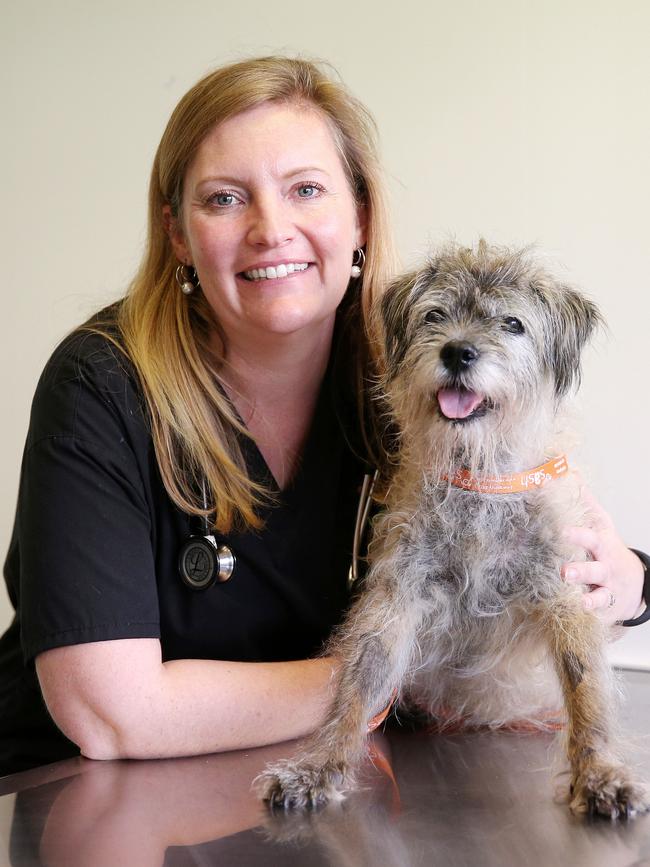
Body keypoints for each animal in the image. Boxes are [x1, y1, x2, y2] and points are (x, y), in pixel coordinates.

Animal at [260, 242, 648, 820]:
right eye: (435, 316)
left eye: (513, 324)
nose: (458, 352)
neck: (478, 479)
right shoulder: (396, 597)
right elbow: (359, 681)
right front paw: (321, 764)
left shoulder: (567, 592)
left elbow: (586, 688)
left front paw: (601, 772)